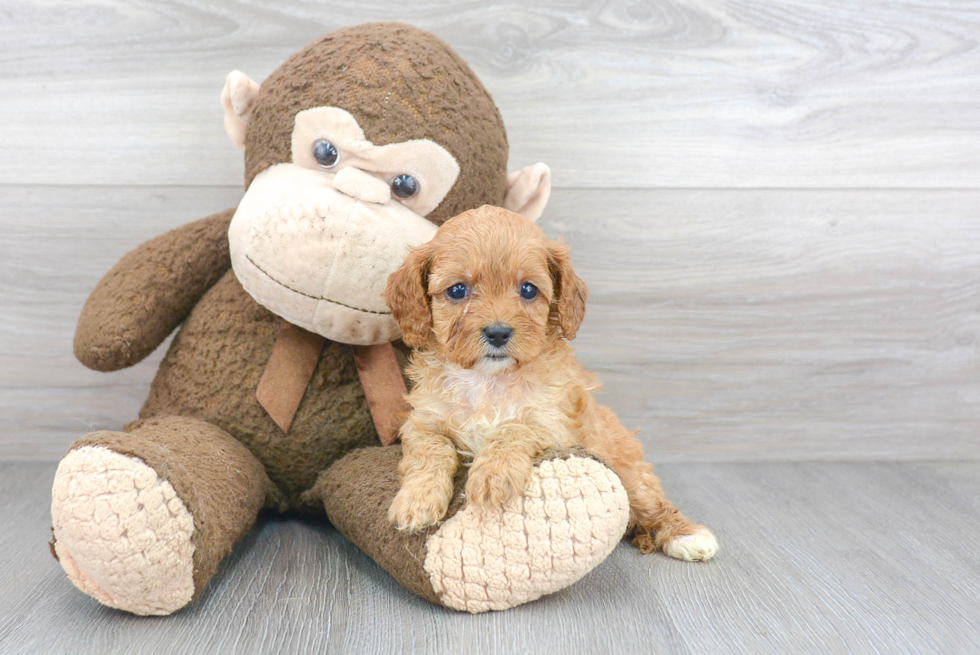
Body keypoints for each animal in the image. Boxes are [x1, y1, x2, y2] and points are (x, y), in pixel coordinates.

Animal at [382, 208, 720, 560]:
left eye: (529, 290)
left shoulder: (554, 423)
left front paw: (493, 476)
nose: (498, 332)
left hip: (628, 468)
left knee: (653, 504)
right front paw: (416, 500)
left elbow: (512, 428)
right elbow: (431, 452)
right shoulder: (422, 423)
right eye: (457, 290)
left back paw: (686, 535)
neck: (488, 380)